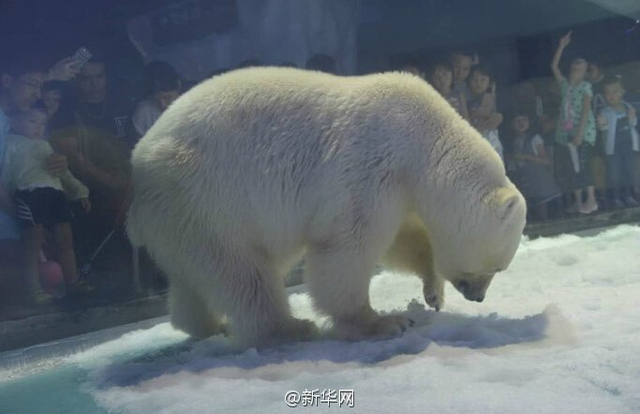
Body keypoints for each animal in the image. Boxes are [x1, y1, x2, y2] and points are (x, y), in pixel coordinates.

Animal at [126, 67, 526, 346]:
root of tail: (138, 167)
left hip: (183, 217)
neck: (423, 136)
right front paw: (383, 322)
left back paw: (209, 325)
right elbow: (347, 247)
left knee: (198, 275)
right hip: (205, 197)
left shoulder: (399, 188)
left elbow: (404, 240)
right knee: (243, 272)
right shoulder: (369, 166)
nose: (478, 297)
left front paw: (432, 292)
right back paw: (289, 328)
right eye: (496, 266)